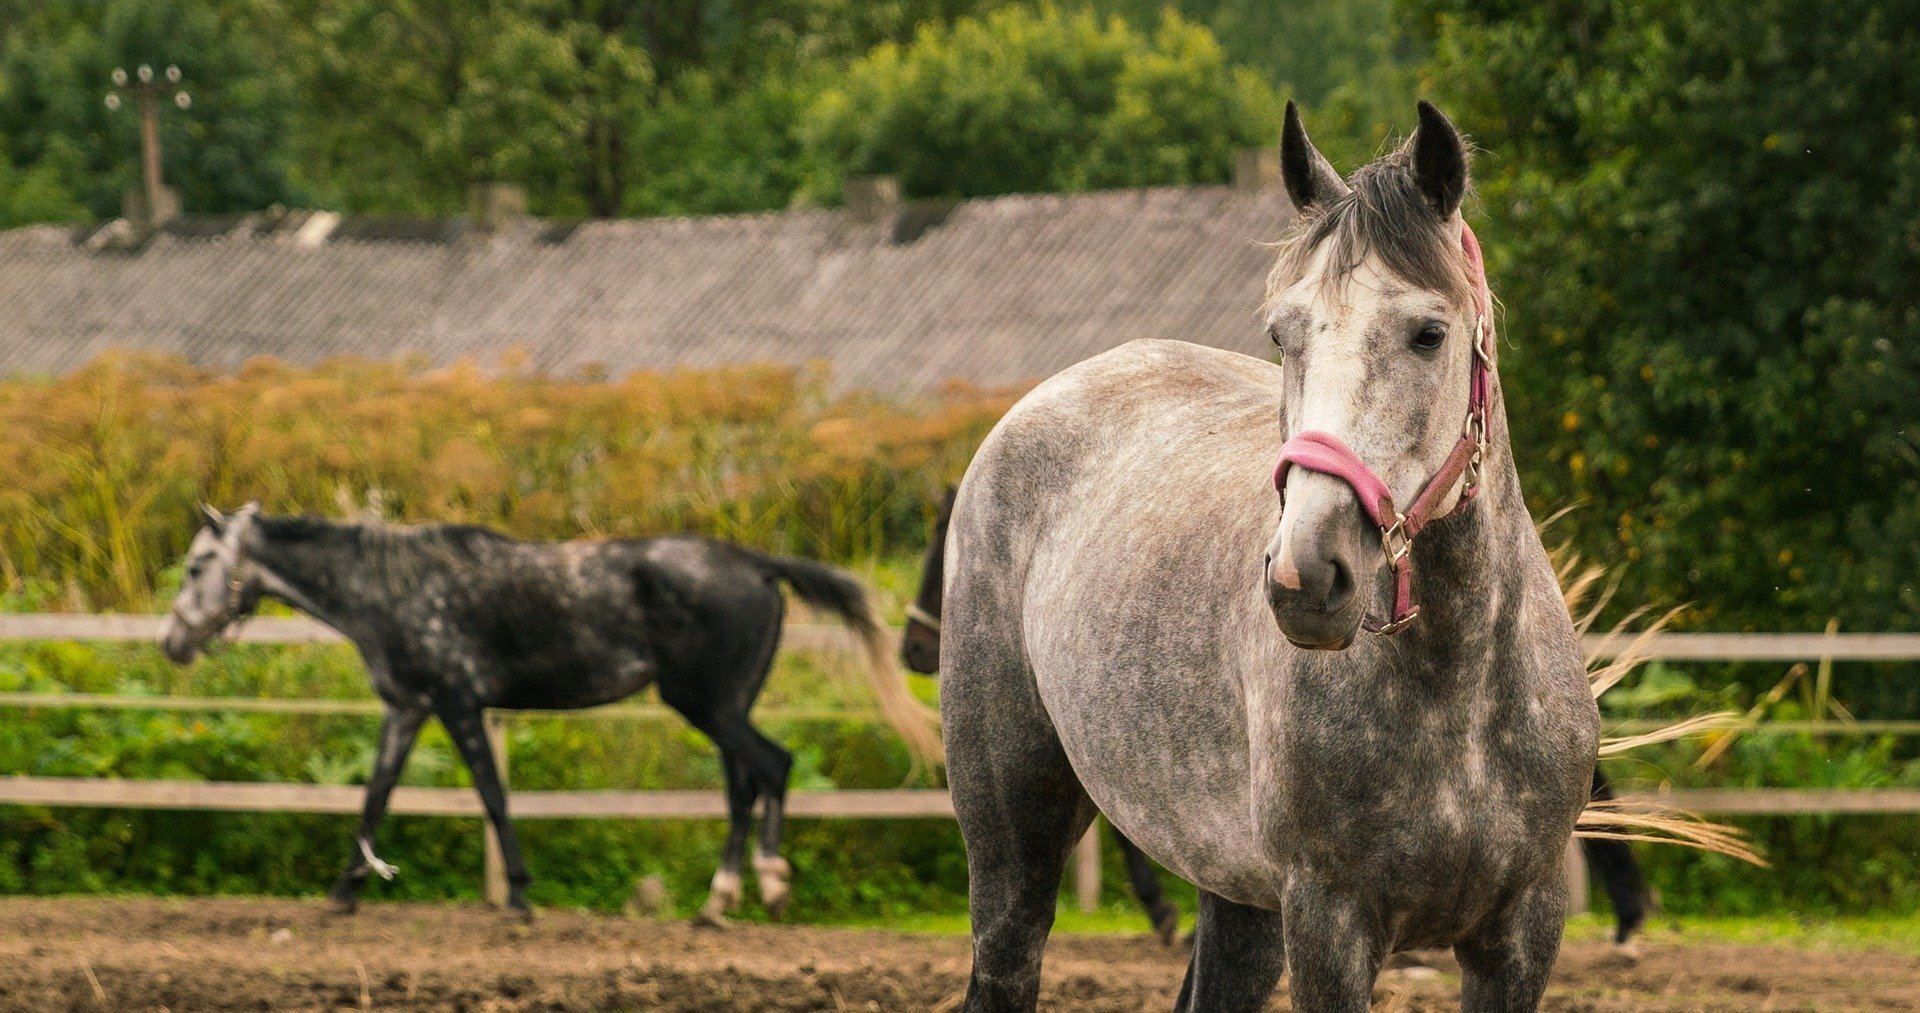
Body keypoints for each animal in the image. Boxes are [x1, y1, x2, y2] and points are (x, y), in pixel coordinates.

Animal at [161, 502, 940, 920]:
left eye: (198, 565)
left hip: (708, 706)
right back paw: (717, 903)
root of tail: (756, 563)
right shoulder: (408, 710)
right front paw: (344, 891)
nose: (172, 642)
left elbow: (493, 796)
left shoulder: (458, 703)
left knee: (771, 768)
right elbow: (375, 796)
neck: (390, 589)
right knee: (744, 787)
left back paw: (766, 891)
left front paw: (520, 898)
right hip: (721, 710)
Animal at [936, 100, 1597, 1005]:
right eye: (1282, 336)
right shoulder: (1328, 920)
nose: (1305, 574)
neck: (1459, 693)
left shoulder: (1522, 932)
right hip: (1013, 846)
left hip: (1239, 896)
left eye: (1429, 334)